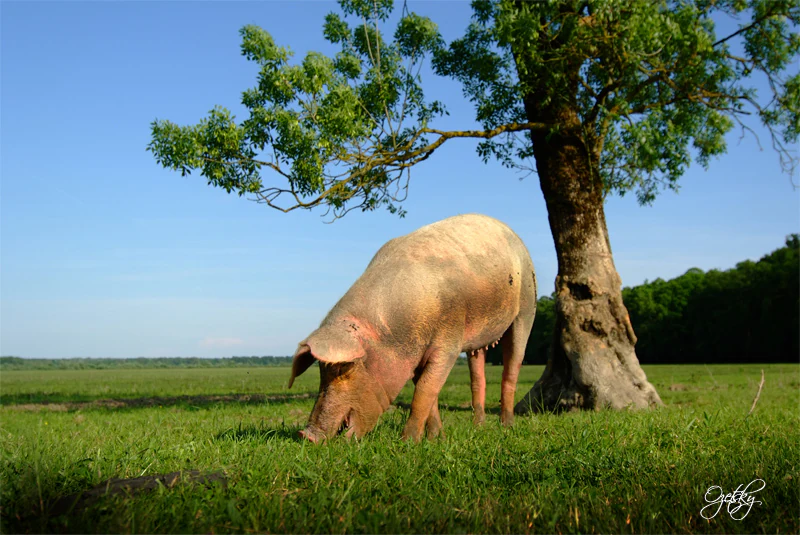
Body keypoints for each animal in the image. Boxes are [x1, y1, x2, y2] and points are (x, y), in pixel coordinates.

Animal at [288, 213, 537, 443]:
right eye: (322, 369)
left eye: (344, 369)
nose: (306, 434)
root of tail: (514, 234)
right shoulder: (415, 355)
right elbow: (427, 393)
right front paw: (436, 439)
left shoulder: (448, 340)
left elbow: (425, 390)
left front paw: (408, 442)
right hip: (479, 338)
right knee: (477, 377)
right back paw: (478, 427)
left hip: (526, 303)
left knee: (512, 367)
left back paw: (507, 427)